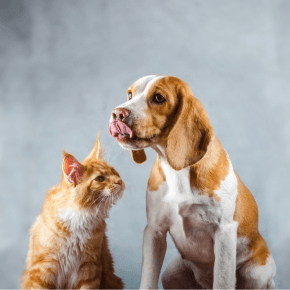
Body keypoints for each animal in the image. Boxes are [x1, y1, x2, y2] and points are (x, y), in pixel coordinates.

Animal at [20, 135, 124, 288]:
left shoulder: (89, 268)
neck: (81, 216)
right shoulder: (42, 269)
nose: (120, 181)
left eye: (115, 172)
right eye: (100, 179)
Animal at [109, 76, 276, 288]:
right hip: (171, 274)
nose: (117, 113)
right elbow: (147, 280)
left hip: (256, 273)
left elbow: (222, 281)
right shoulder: (154, 231)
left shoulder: (224, 233)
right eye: (130, 95)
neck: (178, 172)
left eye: (158, 98)